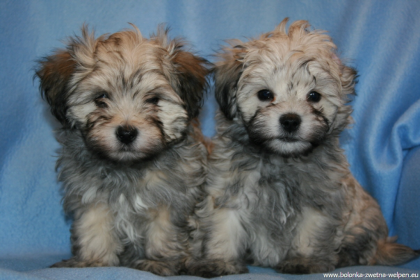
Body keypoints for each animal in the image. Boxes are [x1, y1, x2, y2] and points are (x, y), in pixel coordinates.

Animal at [36, 24, 208, 276]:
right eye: (101, 98)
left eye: (153, 99)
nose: (126, 133)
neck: (128, 168)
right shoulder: (91, 196)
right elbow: (93, 228)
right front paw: (93, 262)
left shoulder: (172, 199)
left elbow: (164, 231)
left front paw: (158, 262)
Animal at [188, 18, 420, 276]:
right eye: (265, 94)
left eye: (314, 96)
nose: (290, 120)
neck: (280, 159)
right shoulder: (229, 190)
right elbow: (222, 228)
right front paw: (219, 261)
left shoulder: (320, 201)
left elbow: (310, 232)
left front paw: (304, 261)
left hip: (363, 221)